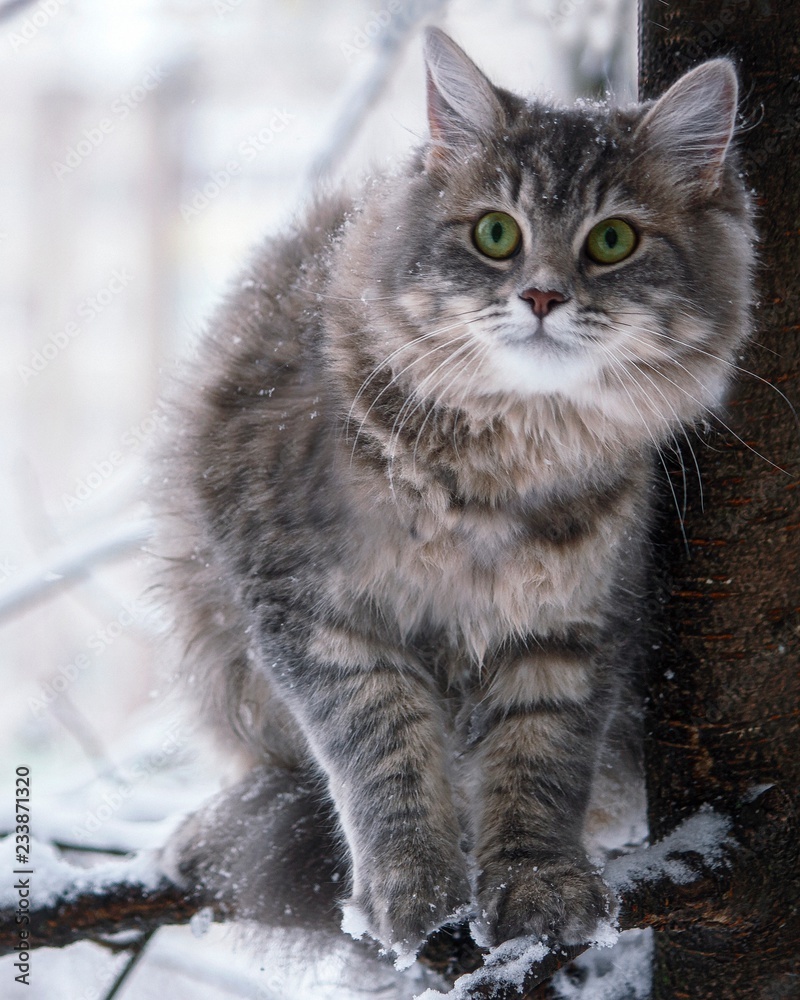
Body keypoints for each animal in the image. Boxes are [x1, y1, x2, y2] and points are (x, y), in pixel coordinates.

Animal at [158, 27, 756, 968]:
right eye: (495, 233)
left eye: (613, 240)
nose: (542, 295)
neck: (500, 475)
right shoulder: (315, 615)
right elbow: (384, 753)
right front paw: (410, 888)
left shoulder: (572, 630)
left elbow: (539, 765)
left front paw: (537, 884)